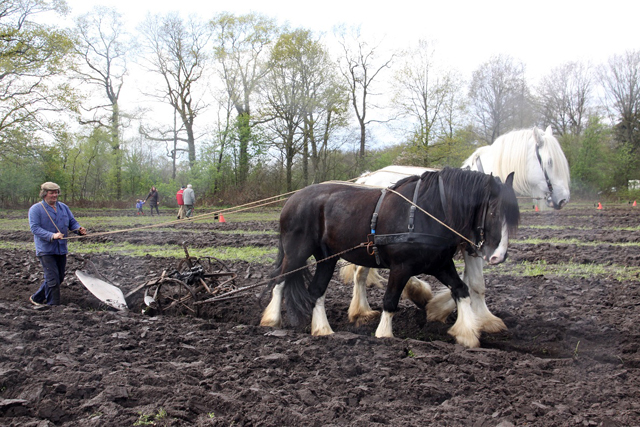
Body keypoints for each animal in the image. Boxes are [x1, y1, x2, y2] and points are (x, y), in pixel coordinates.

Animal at [262, 167, 520, 348]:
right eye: (493, 211)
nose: (498, 256)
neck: (429, 212)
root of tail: (293, 198)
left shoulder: (440, 264)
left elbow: (461, 290)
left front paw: (467, 333)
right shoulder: (400, 267)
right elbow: (390, 300)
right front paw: (384, 334)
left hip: (327, 258)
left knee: (316, 290)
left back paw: (323, 329)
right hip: (296, 251)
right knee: (280, 279)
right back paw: (271, 319)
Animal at [340, 126, 568, 344]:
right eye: (549, 161)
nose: (563, 199)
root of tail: (367, 177)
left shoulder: (471, 248)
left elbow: (464, 283)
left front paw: (440, 309)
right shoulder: (472, 248)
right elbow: (476, 282)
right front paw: (484, 319)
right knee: (360, 272)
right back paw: (362, 310)